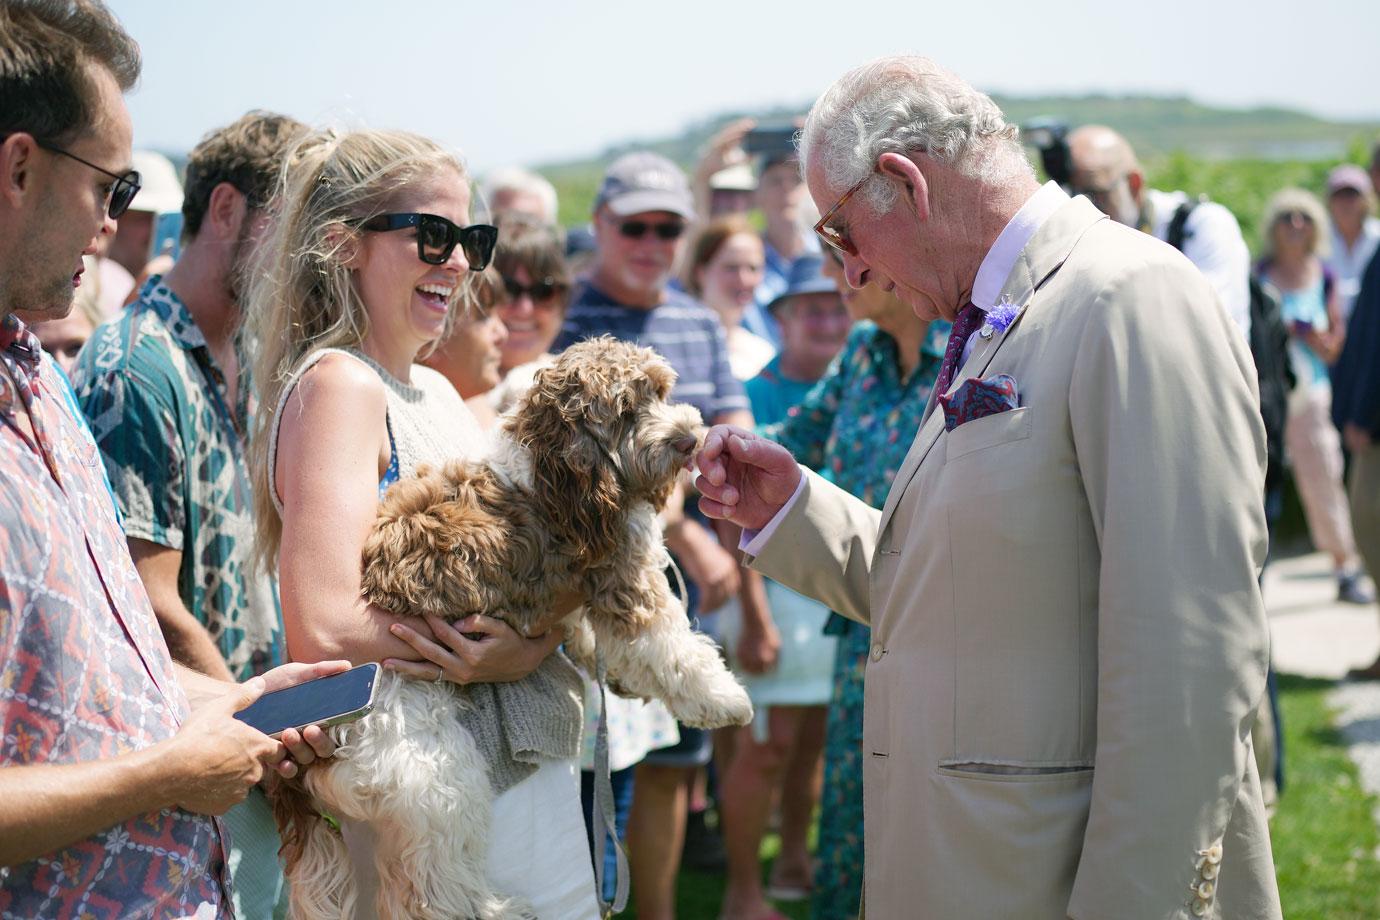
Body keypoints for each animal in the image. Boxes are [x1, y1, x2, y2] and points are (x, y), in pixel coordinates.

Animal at [282, 340, 756, 920]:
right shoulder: (625, 583)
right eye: (626, 411)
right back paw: (495, 908)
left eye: (663, 391)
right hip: (436, 775)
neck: (560, 470)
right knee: (430, 888)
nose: (690, 438)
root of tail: (308, 749)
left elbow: (596, 638)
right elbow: (672, 648)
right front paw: (725, 699)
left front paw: (607, 666)